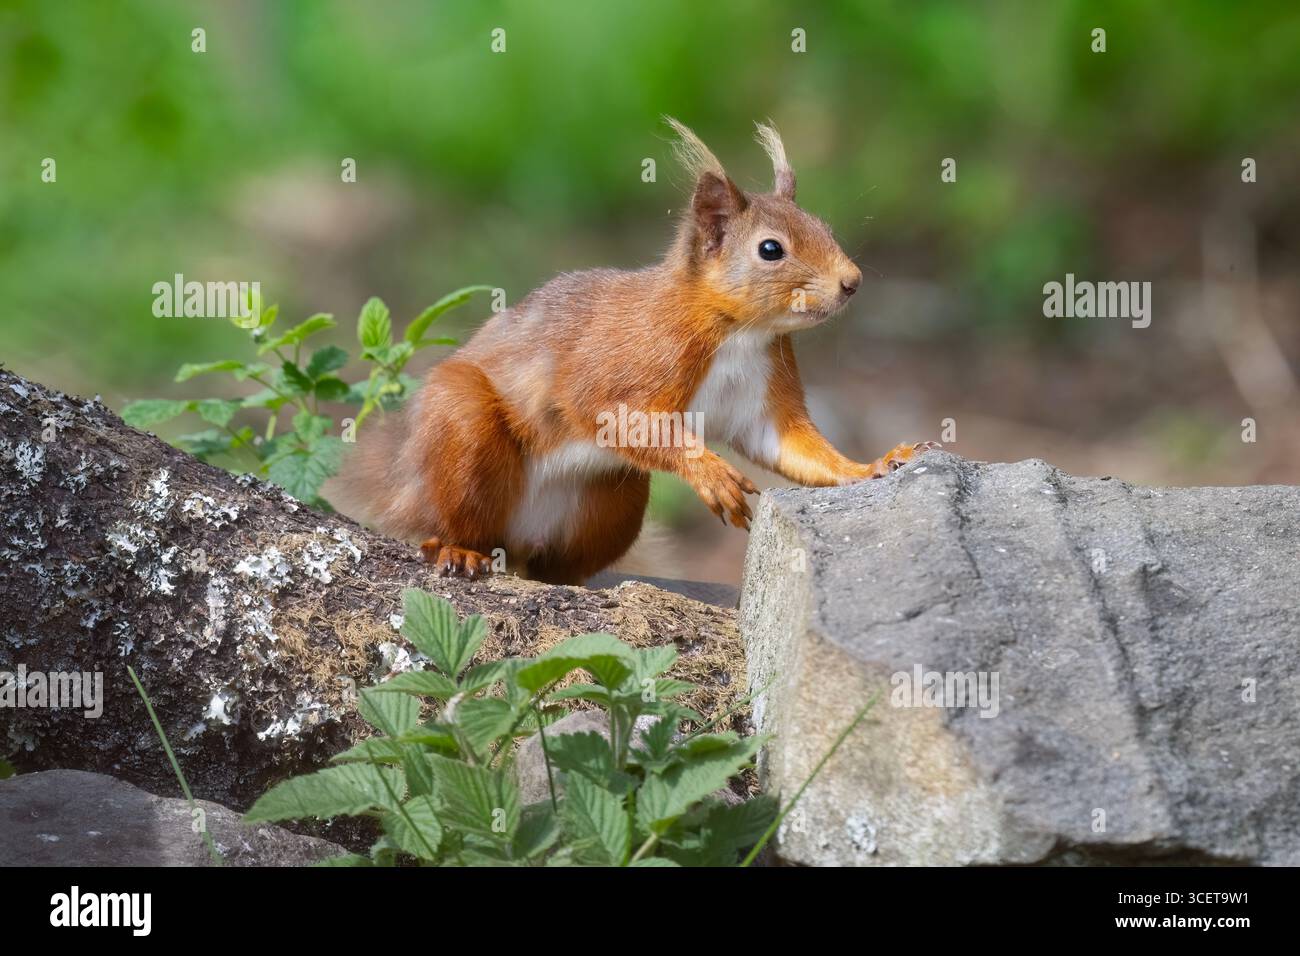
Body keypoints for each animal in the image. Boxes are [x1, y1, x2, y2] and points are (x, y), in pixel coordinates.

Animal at [335, 118, 937, 585]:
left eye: (824, 226)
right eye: (771, 249)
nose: (852, 282)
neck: (740, 333)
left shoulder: (764, 392)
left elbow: (794, 448)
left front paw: (875, 465)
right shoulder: (626, 362)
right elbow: (606, 411)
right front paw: (708, 470)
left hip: (614, 502)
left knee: (549, 566)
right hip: (459, 432)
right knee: (449, 519)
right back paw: (457, 548)